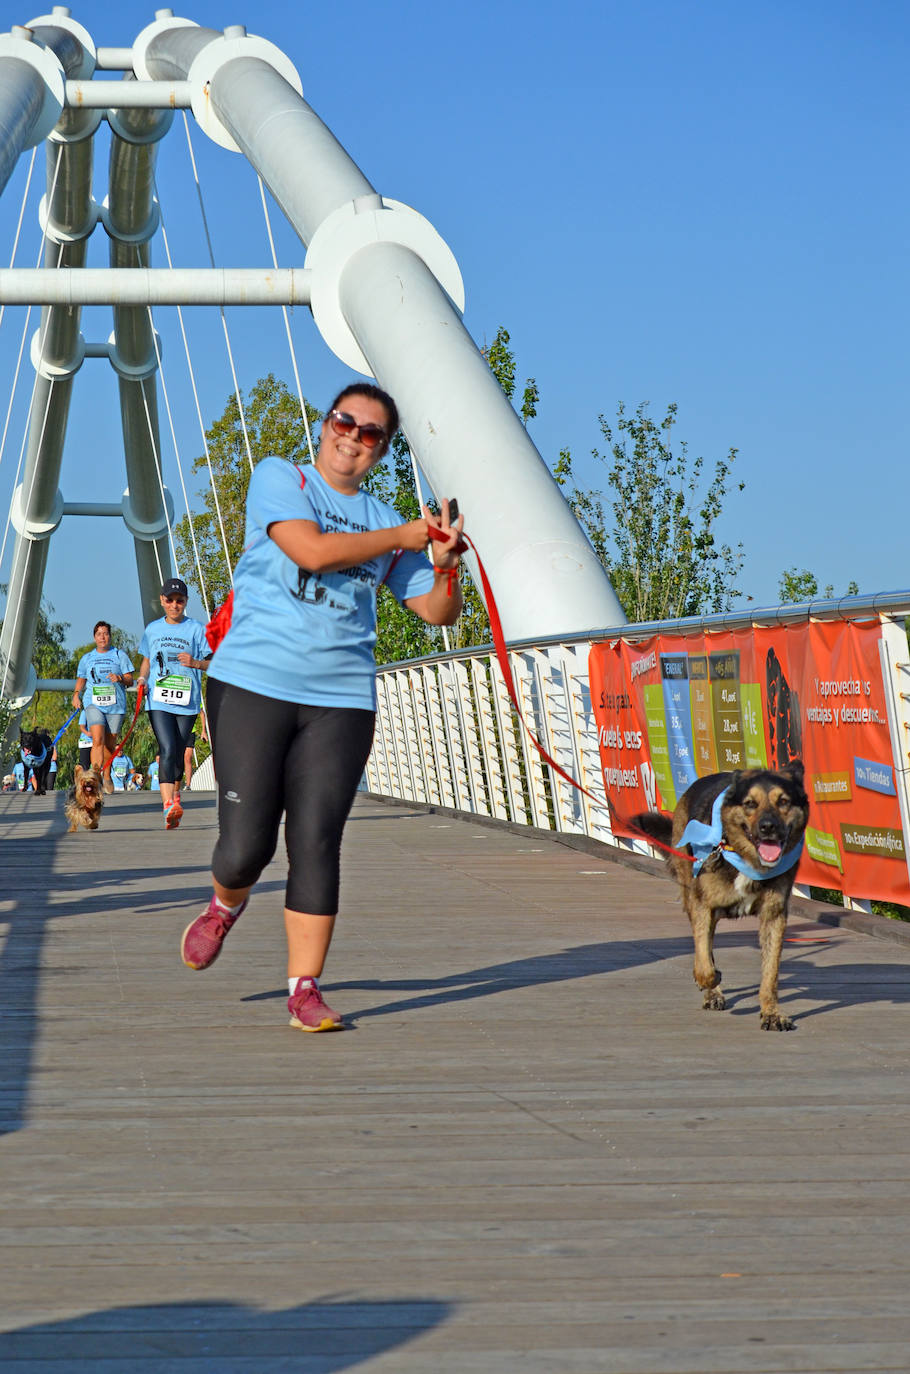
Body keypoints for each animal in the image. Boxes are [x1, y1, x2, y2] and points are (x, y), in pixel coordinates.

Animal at [637, 763, 808, 1033]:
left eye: (783, 801)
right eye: (750, 803)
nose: (768, 827)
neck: (744, 858)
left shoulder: (774, 916)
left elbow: (770, 975)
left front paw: (771, 1014)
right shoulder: (703, 907)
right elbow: (704, 963)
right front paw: (710, 980)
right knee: (704, 949)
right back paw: (712, 991)